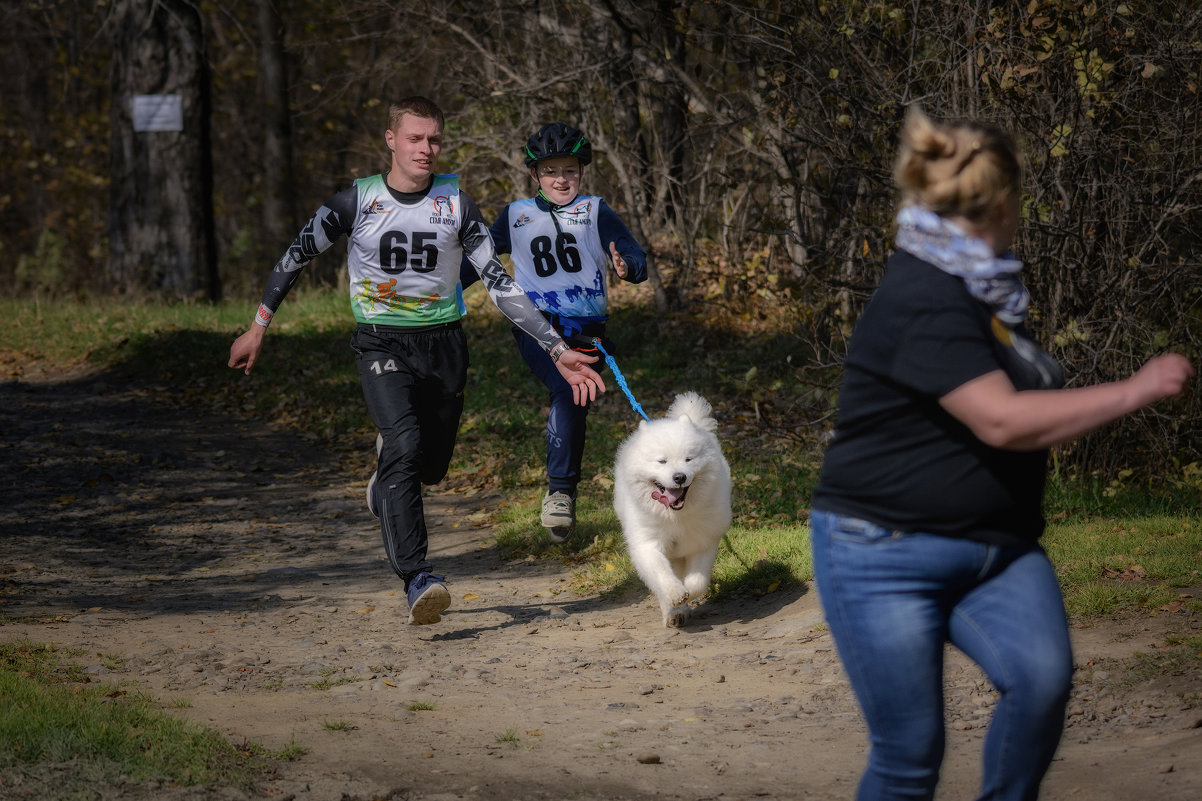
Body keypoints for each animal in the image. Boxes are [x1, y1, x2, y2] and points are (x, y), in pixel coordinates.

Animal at [615, 389, 726, 625]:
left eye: (688, 459)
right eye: (662, 461)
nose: (679, 477)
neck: (675, 516)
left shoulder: (703, 540)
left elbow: (698, 581)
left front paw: (688, 595)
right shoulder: (648, 543)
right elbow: (661, 574)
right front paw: (675, 595)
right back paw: (673, 613)